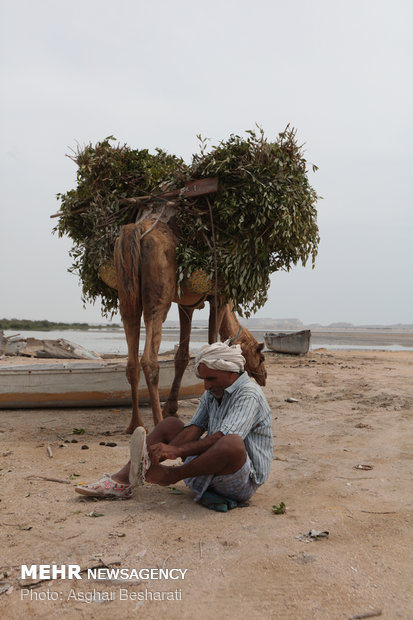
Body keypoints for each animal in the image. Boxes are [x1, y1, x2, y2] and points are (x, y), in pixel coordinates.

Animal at [114, 220, 266, 434]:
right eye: (261, 357)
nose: (264, 376)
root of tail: (137, 228)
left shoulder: (186, 305)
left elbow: (182, 356)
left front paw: (172, 408)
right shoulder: (219, 296)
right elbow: (212, 346)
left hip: (127, 294)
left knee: (132, 357)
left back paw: (135, 424)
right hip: (159, 297)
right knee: (149, 359)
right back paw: (158, 421)